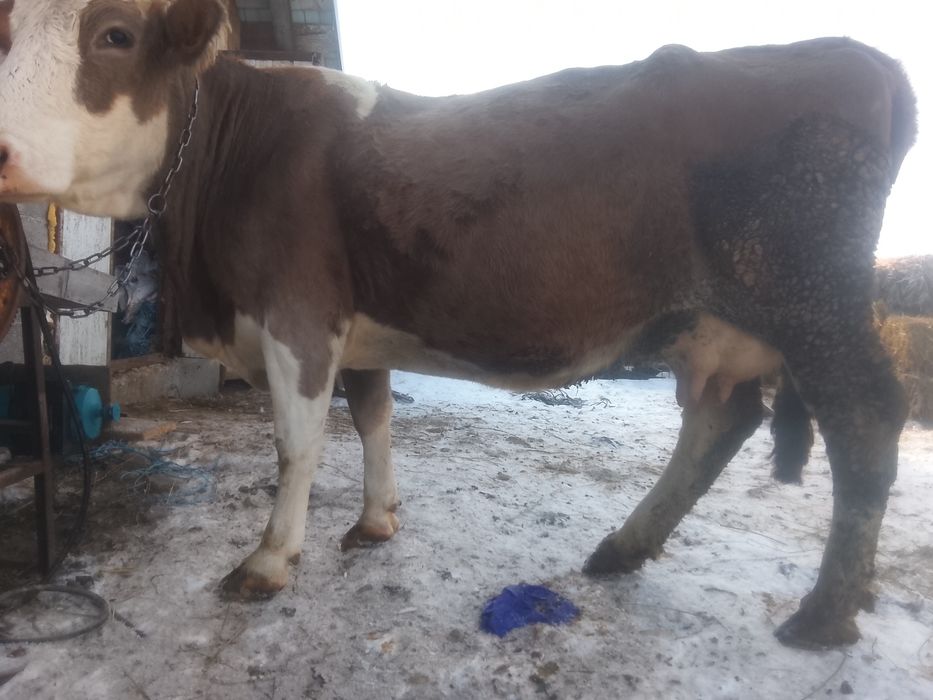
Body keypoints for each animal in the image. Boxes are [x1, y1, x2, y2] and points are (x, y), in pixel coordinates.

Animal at [0, 0, 916, 650]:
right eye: (8, 32)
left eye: (114, 34)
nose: (1, 149)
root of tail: (858, 58)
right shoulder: (355, 321)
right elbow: (372, 416)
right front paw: (376, 520)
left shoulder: (296, 310)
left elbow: (297, 444)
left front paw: (268, 560)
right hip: (720, 320)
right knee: (721, 420)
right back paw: (627, 547)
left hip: (812, 303)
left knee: (865, 421)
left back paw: (824, 611)